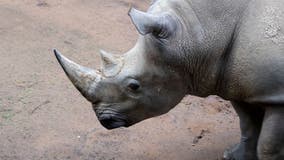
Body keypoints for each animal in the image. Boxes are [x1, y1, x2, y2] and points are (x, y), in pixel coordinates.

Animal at [53, 0, 284, 159]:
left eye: (134, 86)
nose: (105, 121)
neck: (195, 33)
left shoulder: (276, 96)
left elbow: (267, 145)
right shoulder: (233, 80)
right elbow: (248, 125)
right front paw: (233, 157)